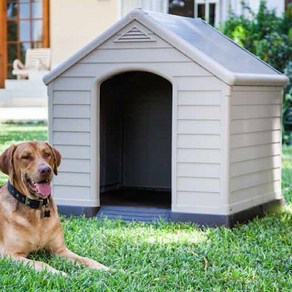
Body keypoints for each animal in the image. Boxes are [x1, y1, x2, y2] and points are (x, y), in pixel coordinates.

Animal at [0, 141, 108, 274]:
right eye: (26, 157)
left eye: (47, 154)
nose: (46, 169)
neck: (35, 210)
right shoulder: (11, 254)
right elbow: (41, 264)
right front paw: (59, 273)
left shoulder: (60, 250)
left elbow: (85, 259)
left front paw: (107, 268)